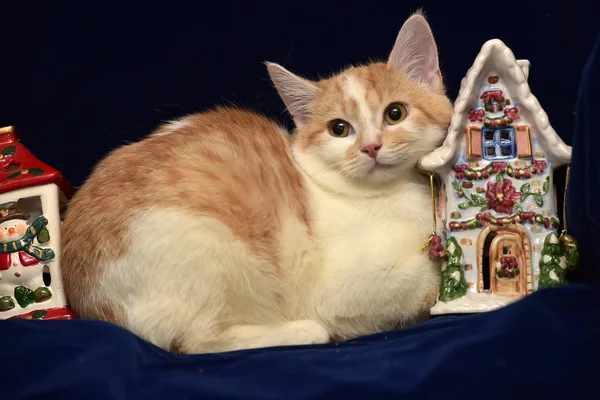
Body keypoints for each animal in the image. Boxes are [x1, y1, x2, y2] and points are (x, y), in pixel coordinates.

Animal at [62, 13, 450, 354]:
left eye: (395, 113)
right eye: (339, 129)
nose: (371, 146)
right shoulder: (335, 290)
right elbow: (417, 283)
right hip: (206, 245)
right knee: (193, 343)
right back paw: (301, 332)